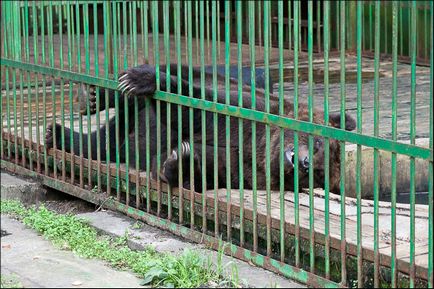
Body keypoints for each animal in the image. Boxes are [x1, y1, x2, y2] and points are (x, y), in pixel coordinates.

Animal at [45, 63, 354, 194]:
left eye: (318, 172)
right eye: (318, 144)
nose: (303, 163)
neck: (263, 149)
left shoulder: (244, 170)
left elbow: (206, 166)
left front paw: (178, 160)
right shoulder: (248, 114)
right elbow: (196, 110)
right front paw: (143, 79)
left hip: (124, 139)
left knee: (104, 144)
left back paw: (58, 134)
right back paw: (96, 96)